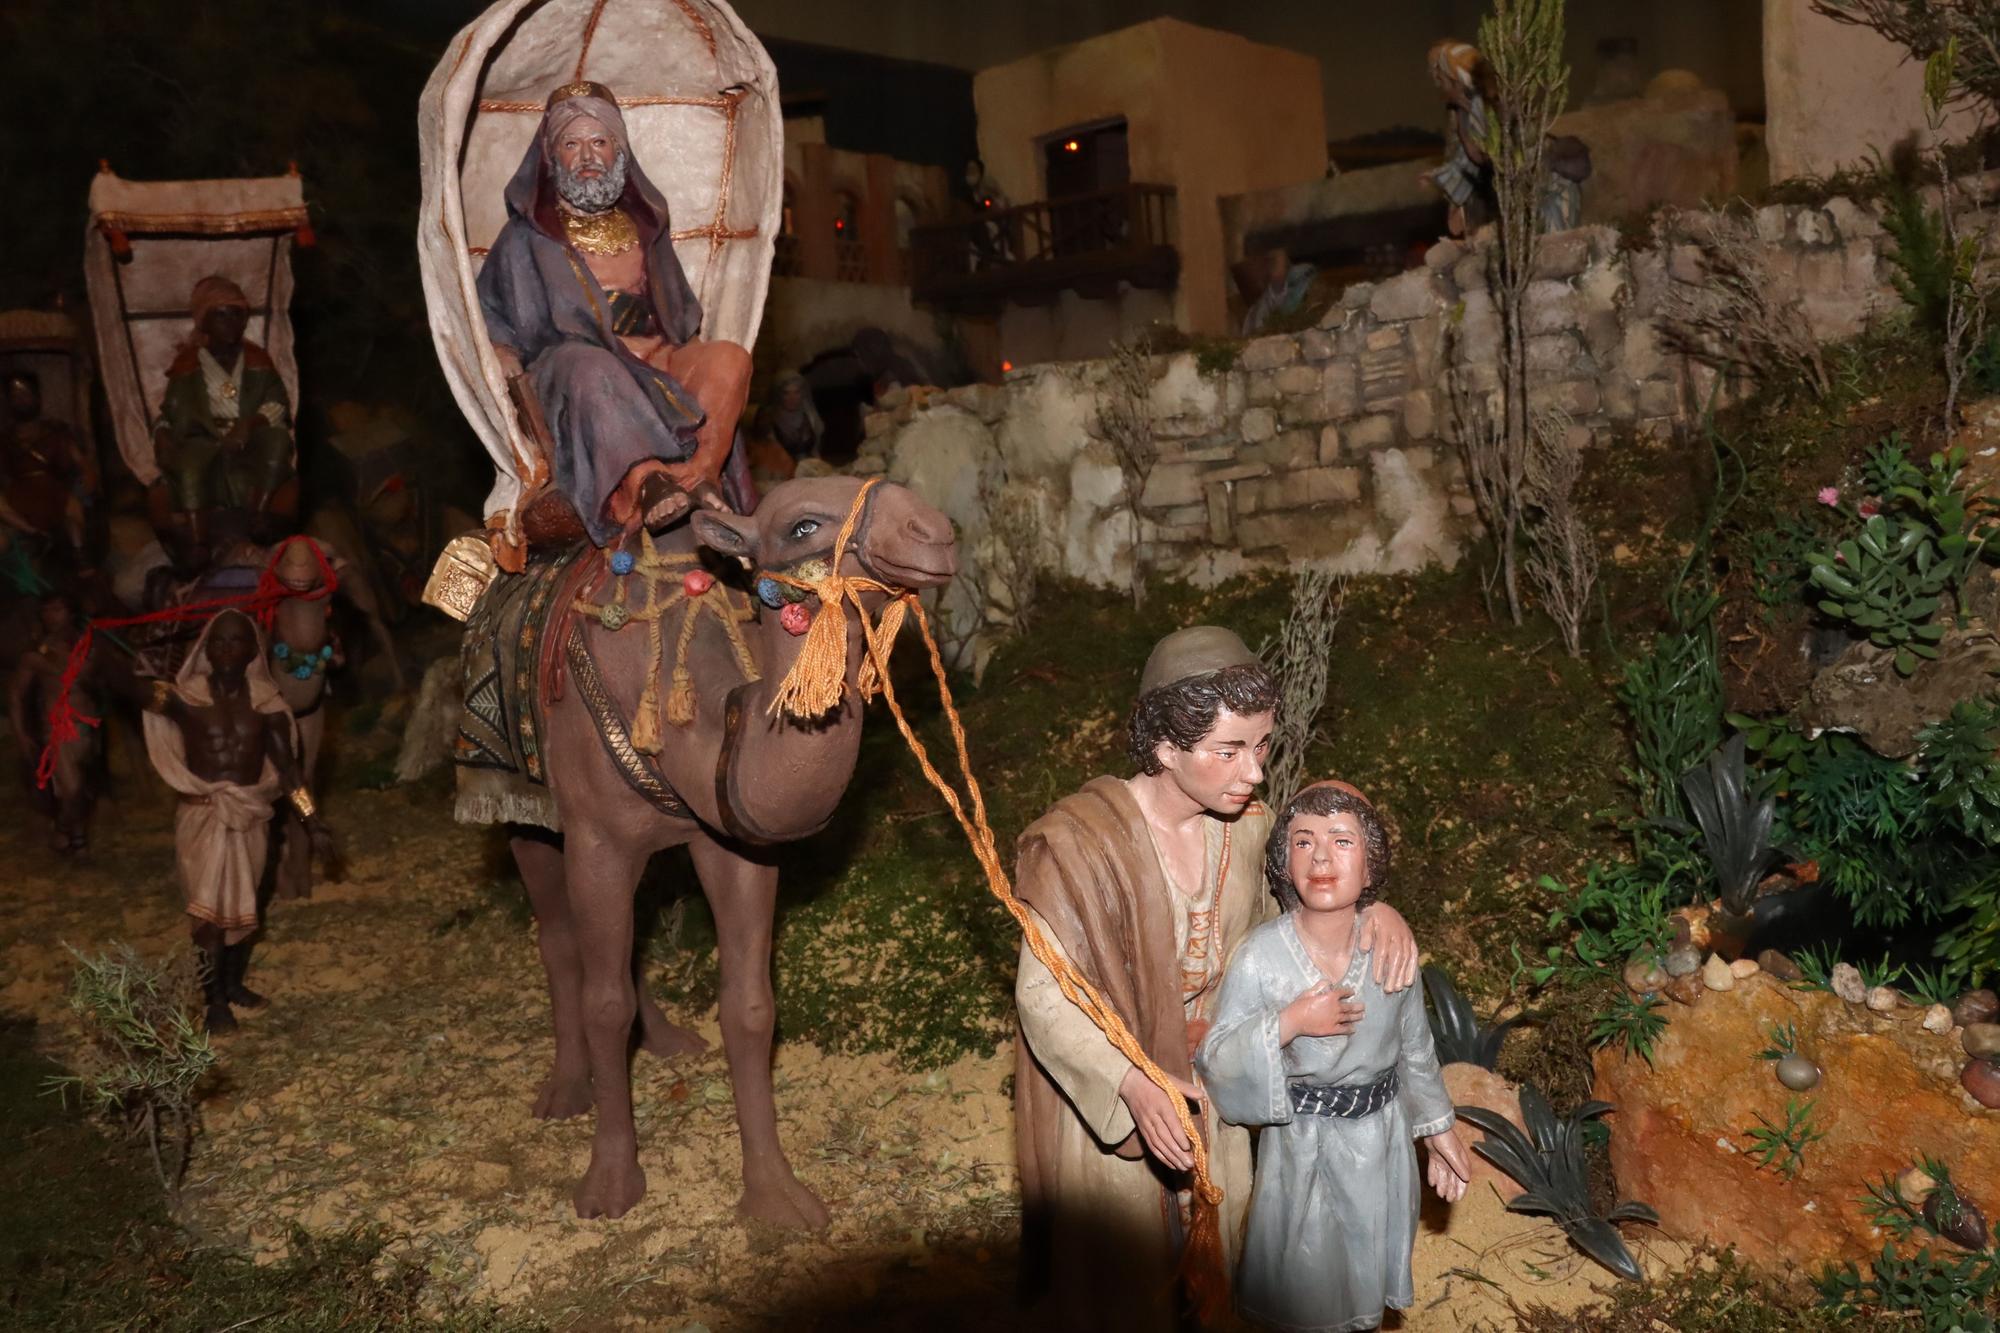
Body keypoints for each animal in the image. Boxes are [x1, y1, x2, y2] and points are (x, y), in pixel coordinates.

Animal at [508, 472, 960, 1216]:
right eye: (803, 524)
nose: (937, 534)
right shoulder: (597, 842)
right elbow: (605, 1004)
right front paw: (610, 1183)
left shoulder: (730, 843)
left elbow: (748, 1007)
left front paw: (776, 1195)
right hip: (523, 817)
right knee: (559, 936)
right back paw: (565, 1090)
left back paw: (668, 1042)